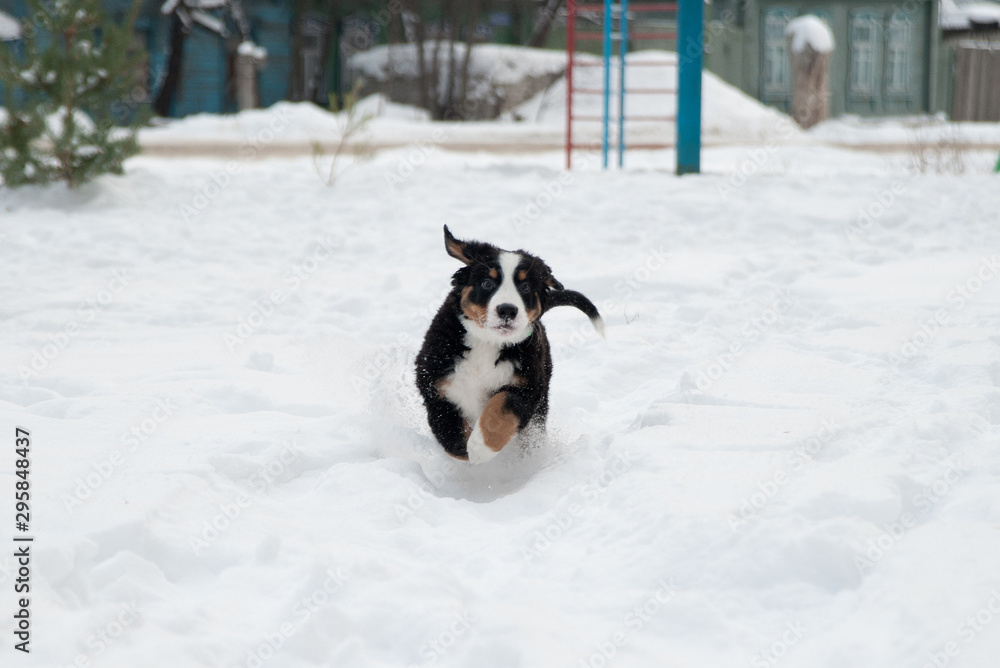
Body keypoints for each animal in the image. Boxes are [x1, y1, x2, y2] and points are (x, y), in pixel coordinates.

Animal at [412, 227, 600, 462]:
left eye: (526, 287)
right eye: (487, 283)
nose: (508, 310)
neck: (487, 342)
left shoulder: (529, 386)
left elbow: (501, 408)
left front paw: (480, 447)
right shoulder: (434, 382)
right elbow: (448, 429)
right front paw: (466, 448)